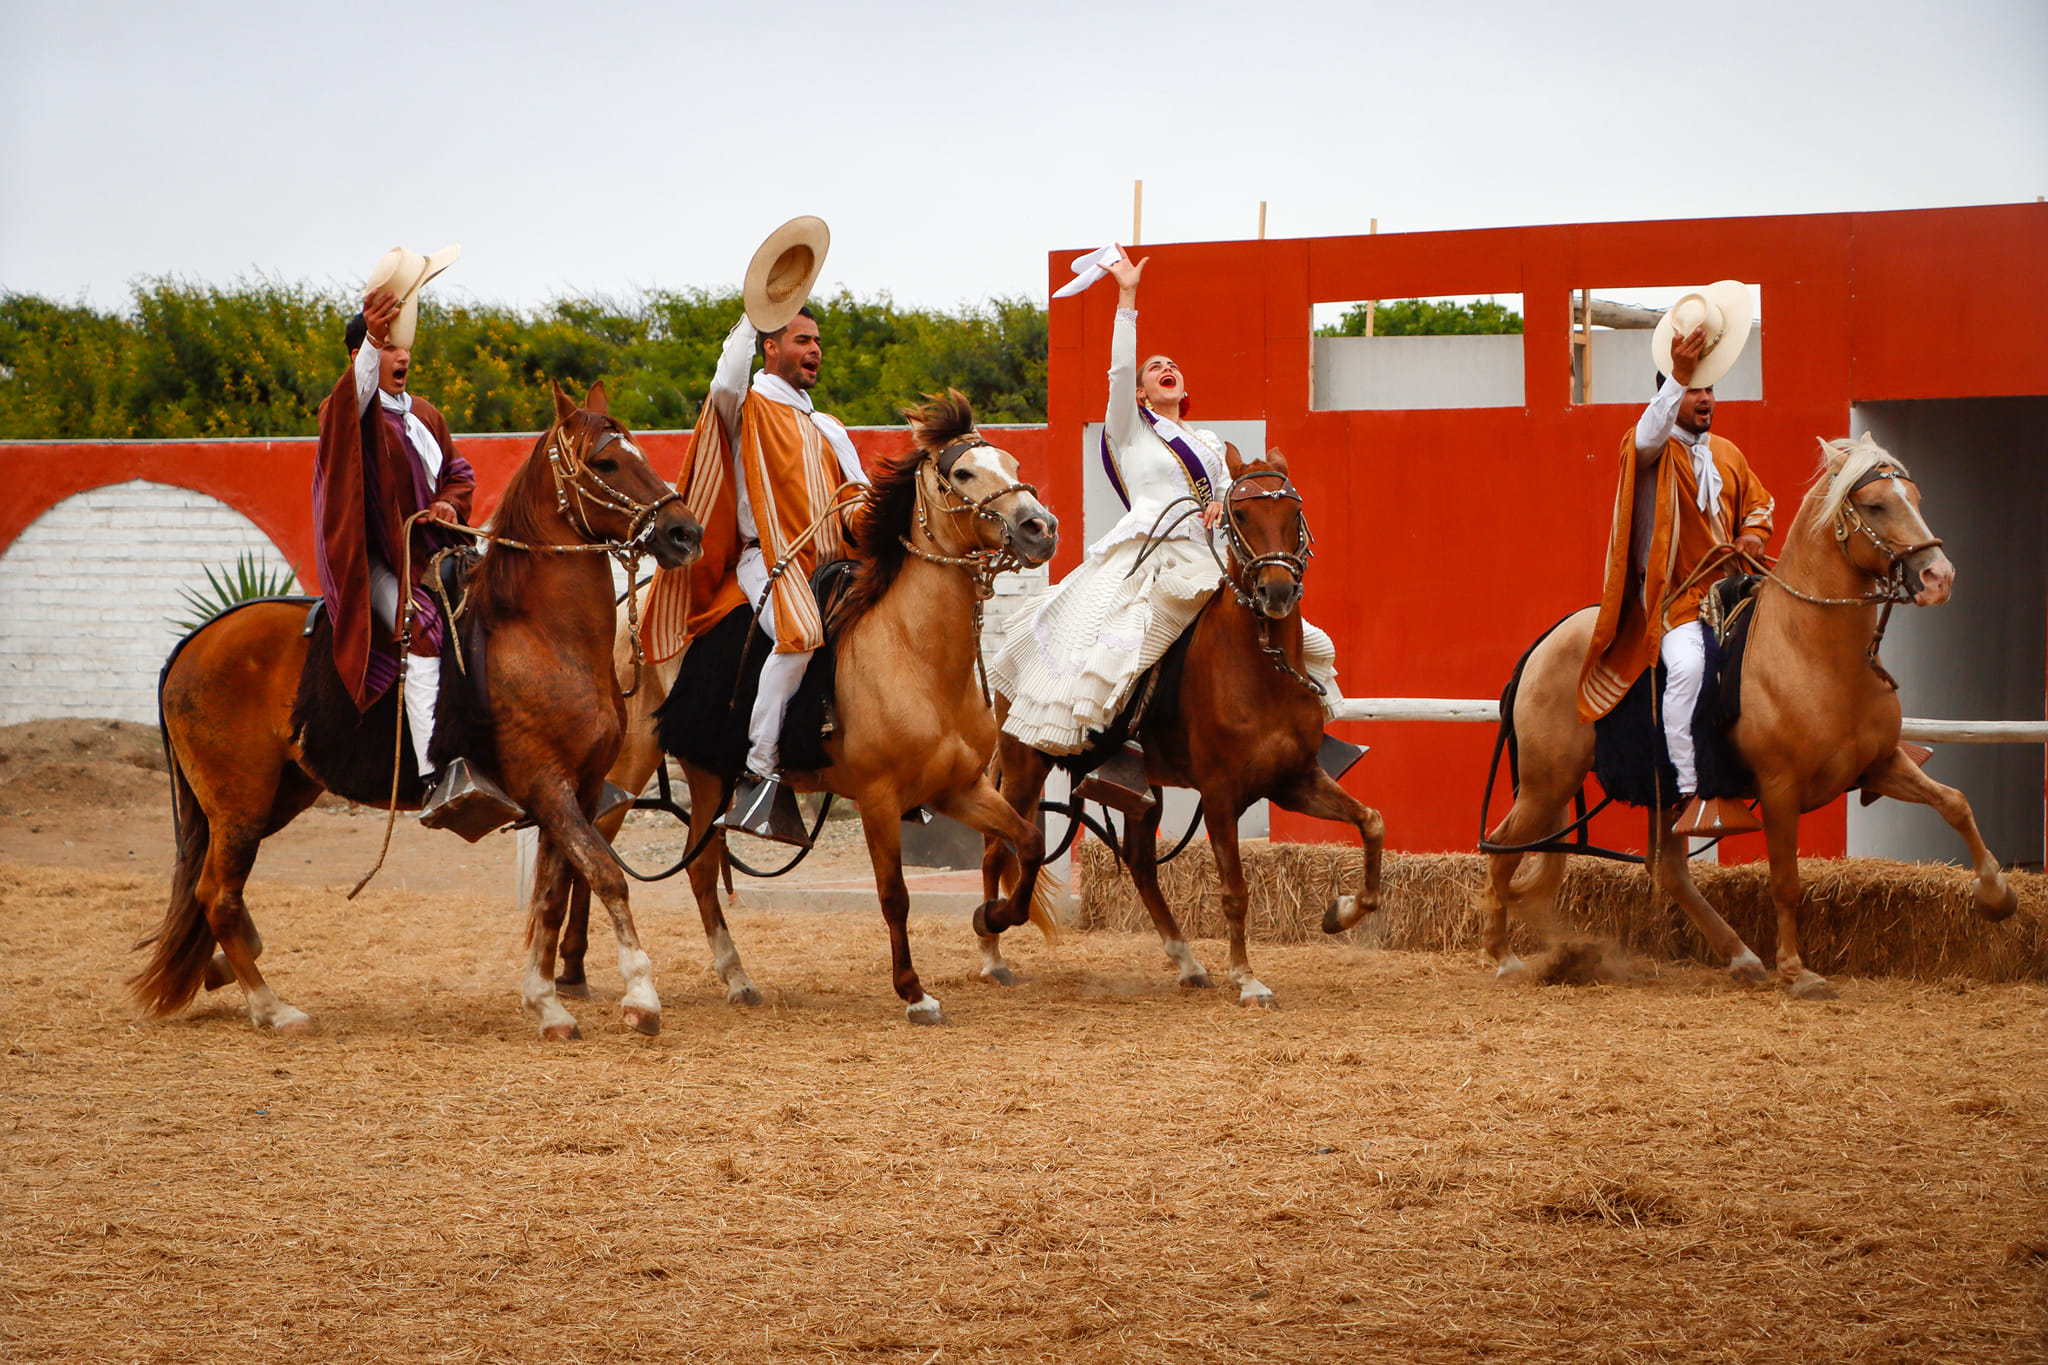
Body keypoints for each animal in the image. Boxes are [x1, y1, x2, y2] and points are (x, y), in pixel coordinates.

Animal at [132, 382, 704, 1035]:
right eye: (606, 462)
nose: (684, 533)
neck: (541, 633)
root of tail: (194, 642)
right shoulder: (549, 788)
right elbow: (607, 877)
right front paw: (640, 995)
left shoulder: (577, 794)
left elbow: (553, 897)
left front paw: (545, 1001)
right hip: (240, 803)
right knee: (218, 897)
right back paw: (272, 1007)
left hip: (279, 793)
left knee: (213, 892)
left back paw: (227, 967)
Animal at [978, 454, 1392, 1010]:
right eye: (1240, 515)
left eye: (1294, 510)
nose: (1277, 591)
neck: (1260, 669)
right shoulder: (1219, 796)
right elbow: (1234, 889)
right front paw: (1248, 979)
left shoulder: (1295, 781)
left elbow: (1371, 822)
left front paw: (1341, 912)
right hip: (1026, 765)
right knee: (1001, 849)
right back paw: (992, 951)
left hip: (1140, 789)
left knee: (1138, 864)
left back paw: (1188, 963)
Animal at [1482, 431, 2023, 998]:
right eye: (1876, 505)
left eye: (1915, 499)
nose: (1939, 576)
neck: (1812, 653)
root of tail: (1547, 642)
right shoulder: (1781, 789)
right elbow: (1785, 880)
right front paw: (1797, 970)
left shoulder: (1881, 765)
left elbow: (1955, 803)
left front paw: (1996, 896)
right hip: (1547, 784)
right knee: (1503, 847)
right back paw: (1504, 957)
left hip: (1648, 793)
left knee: (1668, 868)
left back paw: (1739, 955)